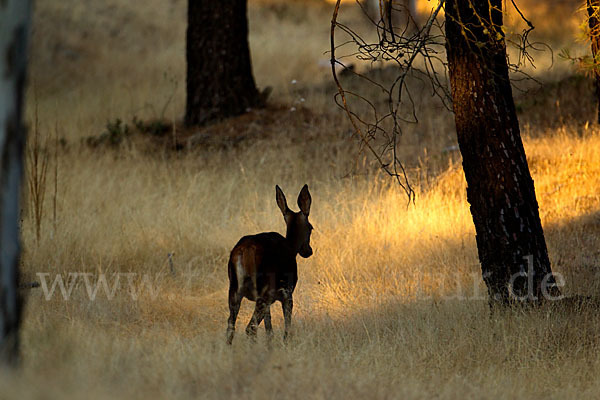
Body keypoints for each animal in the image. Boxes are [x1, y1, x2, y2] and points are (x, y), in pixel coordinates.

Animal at [225, 184, 314, 344]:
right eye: (311, 228)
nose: (308, 251)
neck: (291, 247)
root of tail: (246, 250)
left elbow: (269, 329)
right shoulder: (287, 292)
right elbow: (286, 328)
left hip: (234, 289)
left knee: (231, 326)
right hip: (264, 291)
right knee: (250, 327)